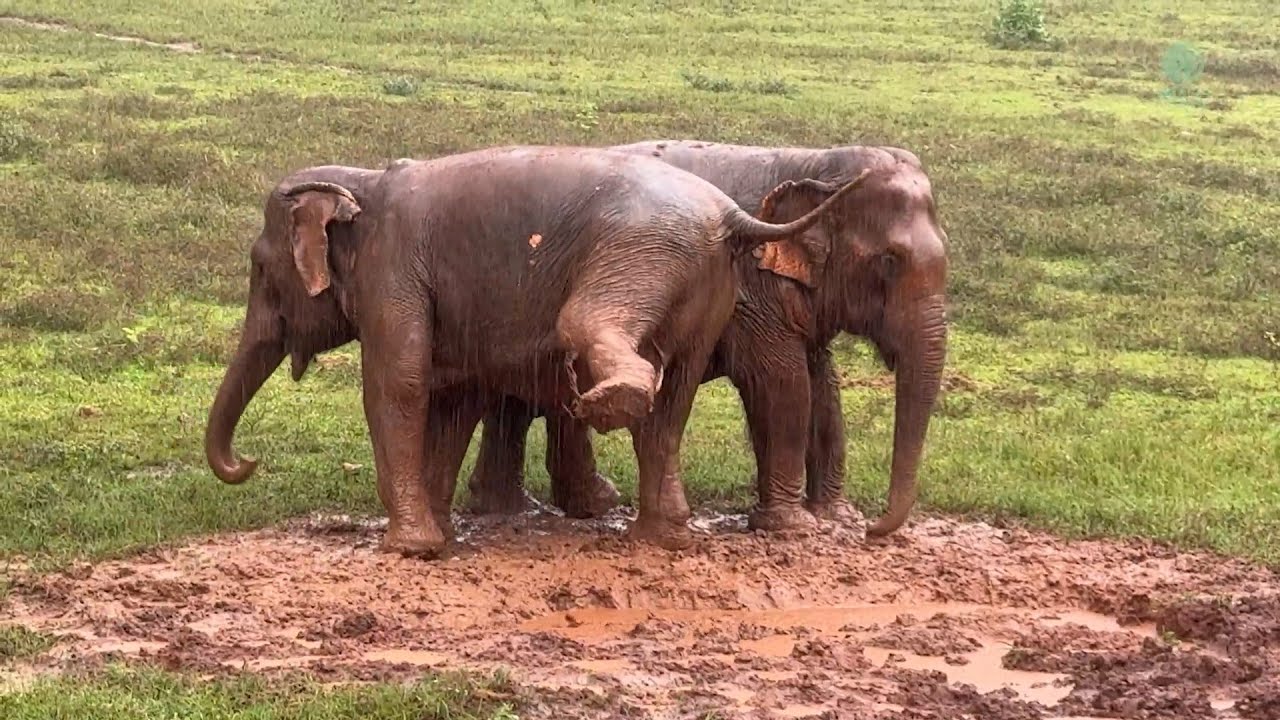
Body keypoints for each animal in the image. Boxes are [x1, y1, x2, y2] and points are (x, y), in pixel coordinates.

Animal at [203, 145, 870, 557]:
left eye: (259, 269)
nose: (247, 463)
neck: (361, 182)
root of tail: (733, 215)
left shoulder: (392, 268)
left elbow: (401, 382)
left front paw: (409, 547)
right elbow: (454, 395)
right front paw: (440, 535)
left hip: (641, 253)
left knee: (592, 331)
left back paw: (610, 401)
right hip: (707, 288)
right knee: (671, 402)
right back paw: (664, 537)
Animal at [465, 141, 949, 538]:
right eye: (888, 261)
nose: (873, 529)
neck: (815, 162)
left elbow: (824, 388)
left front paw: (836, 517)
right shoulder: (752, 292)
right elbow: (783, 384)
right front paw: (793, 527)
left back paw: (515, 507)